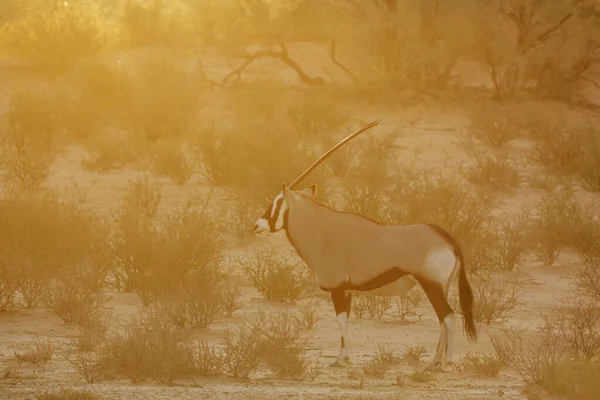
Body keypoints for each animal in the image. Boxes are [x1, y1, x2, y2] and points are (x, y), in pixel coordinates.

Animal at [253, 120, 478, 370]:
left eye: (276, 203)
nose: (257, 225)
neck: (322, 231)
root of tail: (448, 239)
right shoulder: (348, 290)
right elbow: (347, 321)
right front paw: (345, 357)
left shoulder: (338, 288)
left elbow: (341, 321)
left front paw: (340, 359)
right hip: (440, 287)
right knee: (442, 320)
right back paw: (434, 361)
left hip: (431, 284)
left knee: (449, 317)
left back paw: (446, 362)